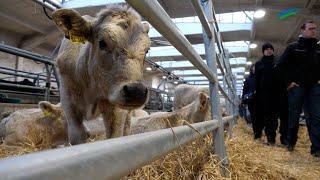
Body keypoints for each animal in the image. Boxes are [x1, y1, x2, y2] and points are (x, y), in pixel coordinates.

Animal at [52, 5, 151, 144]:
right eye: (102, 43)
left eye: (147, 50)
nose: (136, 91)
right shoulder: (68, 101)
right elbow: (77, 136)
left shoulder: (117, 109)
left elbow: (115, 135)